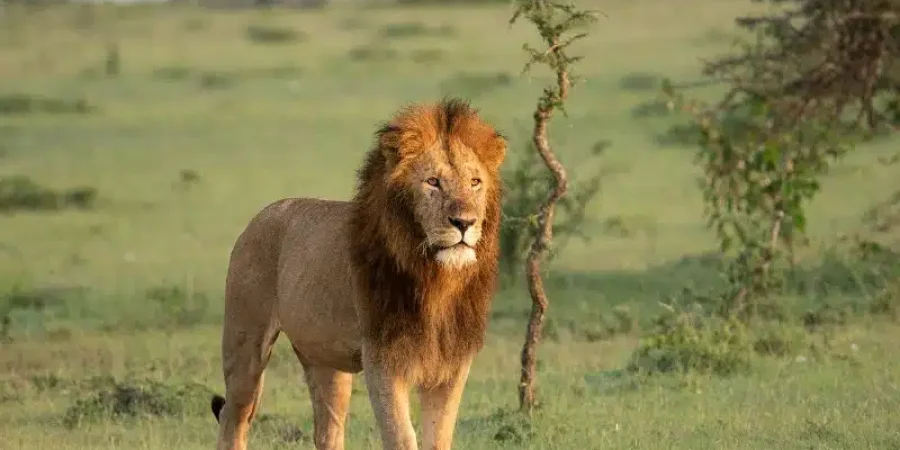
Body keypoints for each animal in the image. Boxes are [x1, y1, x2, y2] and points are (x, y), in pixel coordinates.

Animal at [209, 97, 507, 450]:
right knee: (233, 419)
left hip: (324, 361)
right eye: (433, 182)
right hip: (245, 345)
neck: (436, 278)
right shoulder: (382, 358)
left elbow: (438, 439)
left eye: (475, 183)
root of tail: (261, 214)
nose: (464, 222)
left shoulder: (452, 365)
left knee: (327, 431)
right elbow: (401, 437)